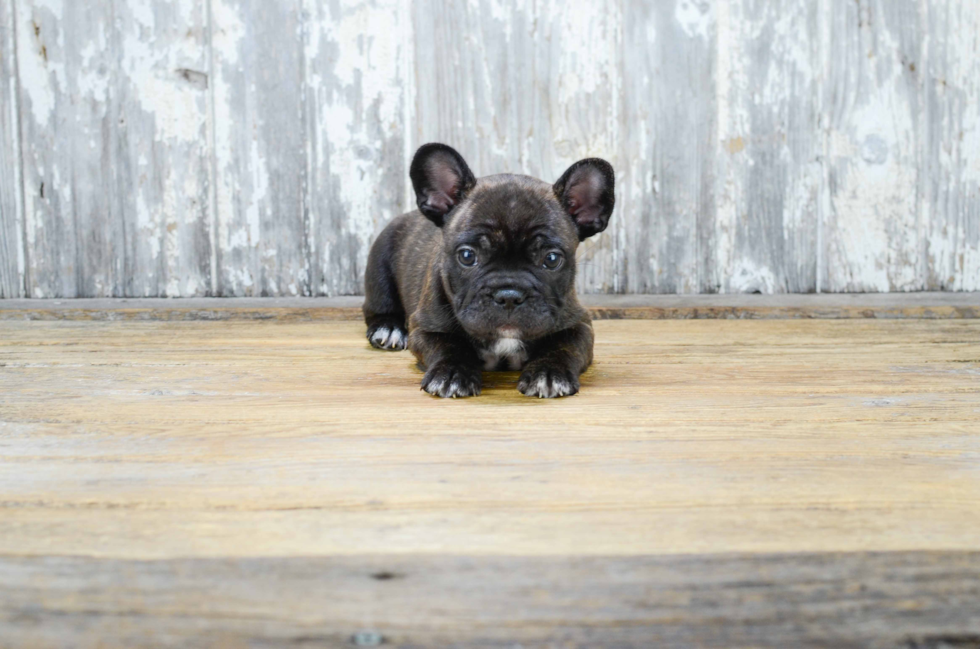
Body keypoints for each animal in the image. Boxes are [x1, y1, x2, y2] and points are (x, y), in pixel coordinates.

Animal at [364, 142, 616, 398]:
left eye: (552, 259)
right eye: (467, 256)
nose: (509, 296)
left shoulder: (579, 325)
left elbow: (562, 347)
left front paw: (548, 373)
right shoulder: (426, 328)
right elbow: (448, 346)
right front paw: (452, 373)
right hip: (379, 267)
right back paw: (389, 329)